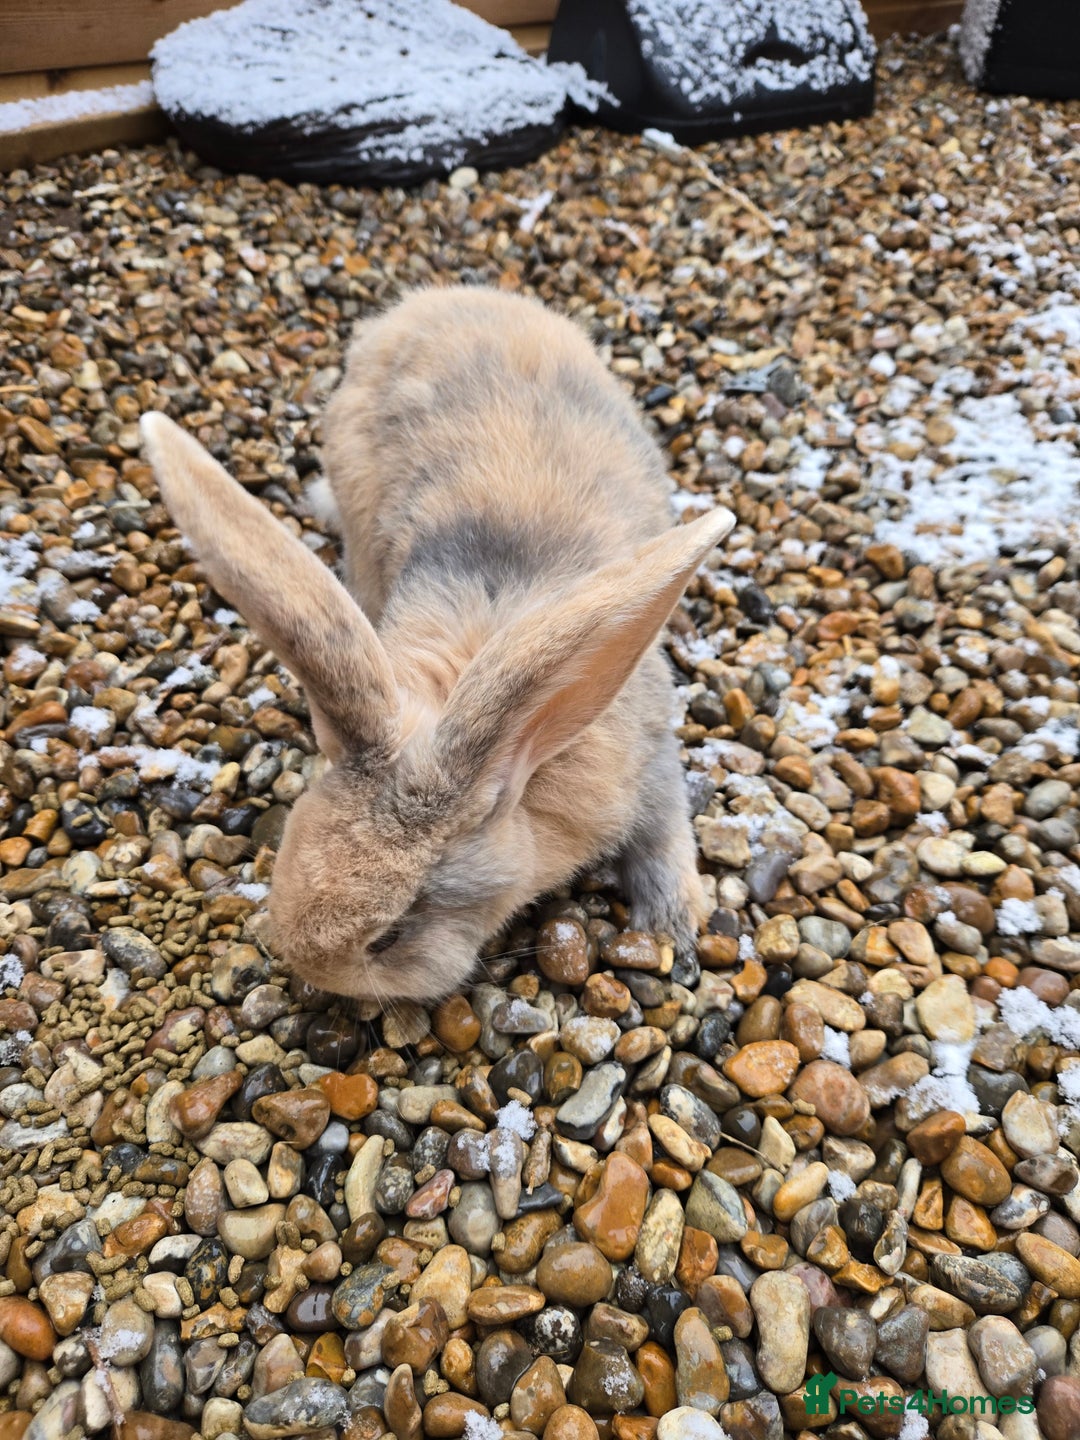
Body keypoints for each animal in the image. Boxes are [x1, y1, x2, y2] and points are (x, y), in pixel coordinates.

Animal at [140, 286, 734, 1004]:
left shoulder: (652, 763)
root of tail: (428, 303)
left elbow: (665, 835)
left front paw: (675, 926)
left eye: (389, 935)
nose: (315, 974)